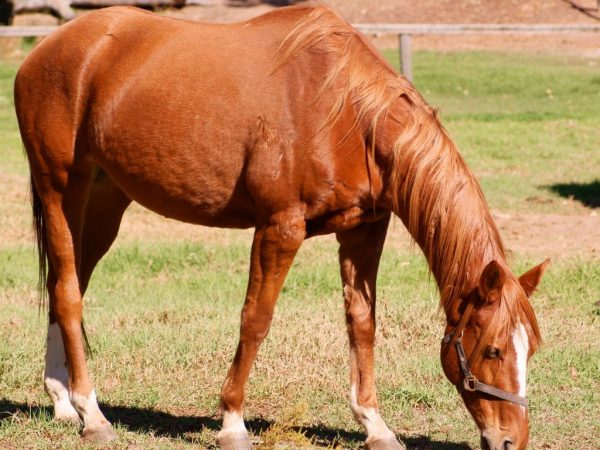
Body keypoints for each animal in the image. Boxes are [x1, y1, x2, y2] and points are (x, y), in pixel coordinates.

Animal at [14, 4, 548, 450]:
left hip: (106, 200)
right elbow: (256, 319)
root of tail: (45, 50)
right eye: (494, 350)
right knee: (67, 291)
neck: (346, 113)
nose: (511, 441)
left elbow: (362, 324)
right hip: (61, 188)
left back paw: (63, 401)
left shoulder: (364, 231)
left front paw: (375, 426)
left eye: (530, 351)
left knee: (67, 287)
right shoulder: (280, 228)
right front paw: (232, 422)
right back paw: (91, 413)